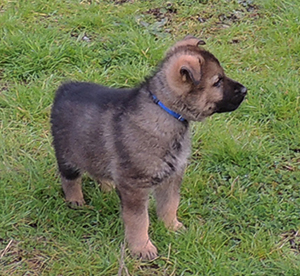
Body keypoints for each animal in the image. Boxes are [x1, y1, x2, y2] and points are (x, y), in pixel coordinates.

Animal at [50, 35, 246, 260]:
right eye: (217, 81)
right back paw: (75, 201)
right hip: (66, 153)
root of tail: (64, 88)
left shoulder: (172, 176)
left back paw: (107, 188)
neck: (166, 109)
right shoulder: (135, 185)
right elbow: (138, 219)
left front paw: (172, 227)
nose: (245, 90)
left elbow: (170, 204)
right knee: (69, 178)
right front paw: (142, 247)